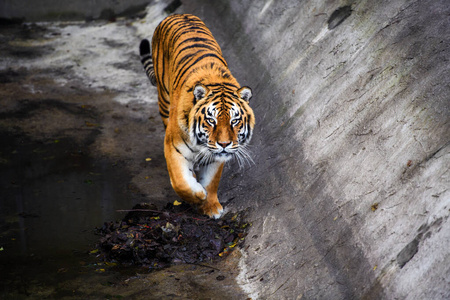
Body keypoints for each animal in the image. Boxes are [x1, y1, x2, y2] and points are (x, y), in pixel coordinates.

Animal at [139, 13, 255, 218]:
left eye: (234, 121)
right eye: (211, 120)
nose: (224, 144)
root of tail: (177, 14)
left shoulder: (217, 157)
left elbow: (212, 182)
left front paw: (211, 206)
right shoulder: (173, 147)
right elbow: (180, 181)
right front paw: (198, 194)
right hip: (164, 101)